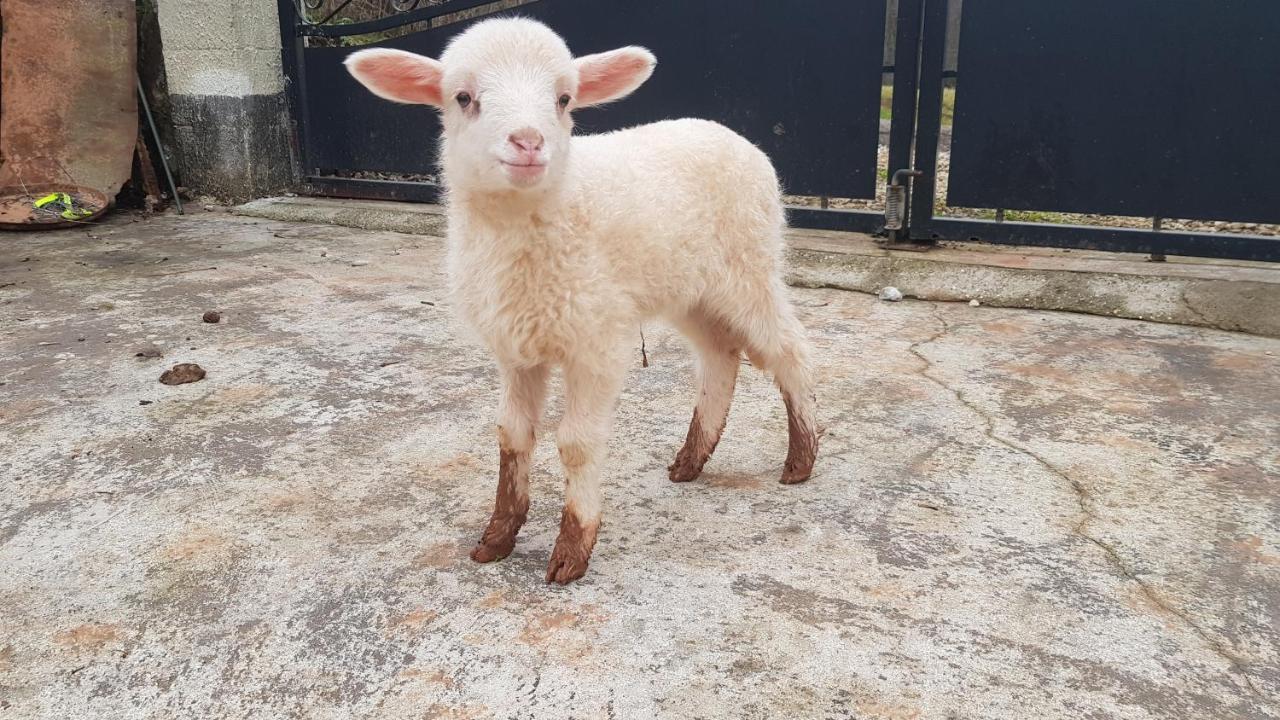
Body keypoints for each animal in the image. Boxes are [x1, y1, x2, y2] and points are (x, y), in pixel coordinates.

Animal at [345, 18, 814, 584]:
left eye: (564, 98)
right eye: (463, 97)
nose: (528, 142)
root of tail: (731, 134)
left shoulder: (597, 339)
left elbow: (576, 443)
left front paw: (572, 550)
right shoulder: (515, 345)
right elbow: (512, 434)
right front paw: (496, 538)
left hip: (751, 265)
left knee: (788, 349)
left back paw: (801, 460)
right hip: (690, 289)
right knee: (719, 354)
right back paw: (690, 461)